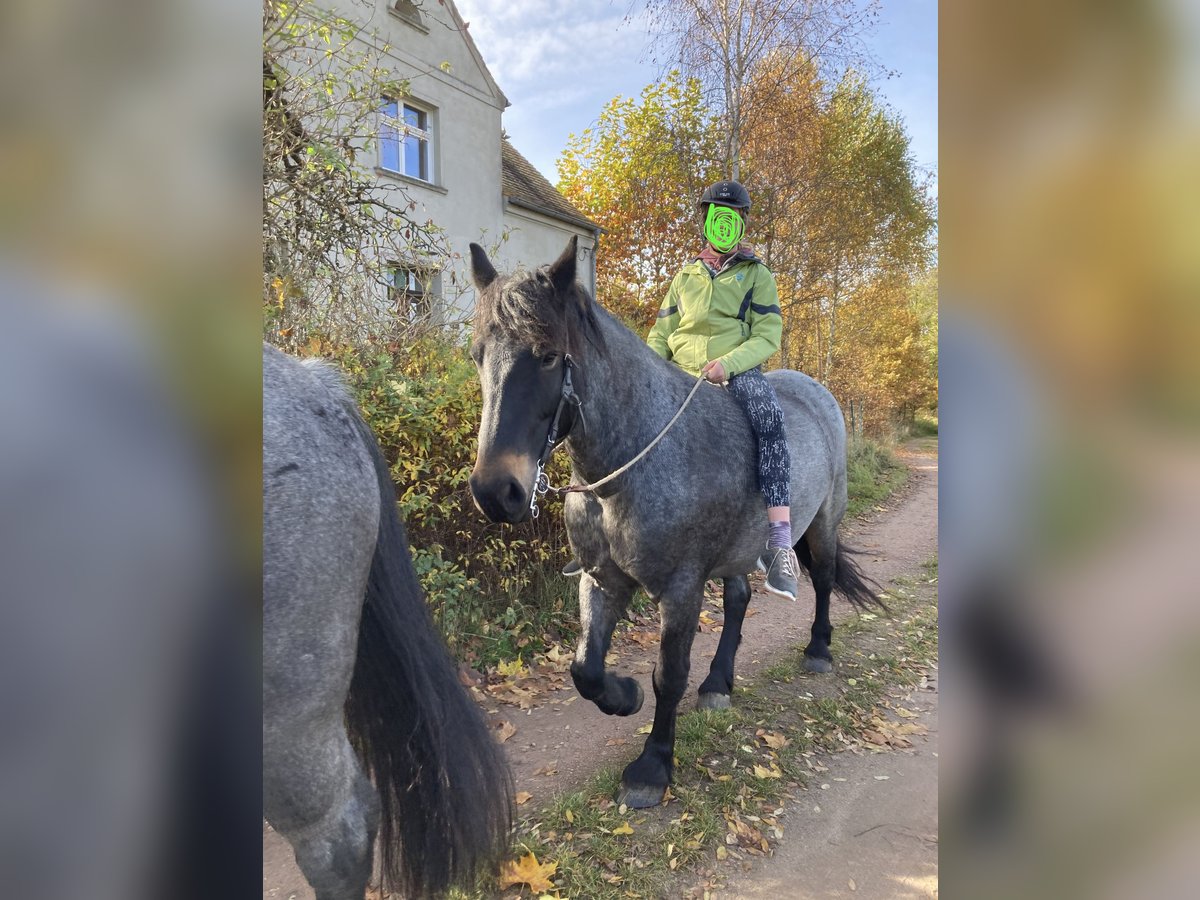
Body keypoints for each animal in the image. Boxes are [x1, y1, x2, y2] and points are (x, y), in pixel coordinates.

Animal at [468, 237, 883, 811]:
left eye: (548, 356)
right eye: (478, 356)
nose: (495, 491)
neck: (630, 467)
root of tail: (817, 393)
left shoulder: (681, 588)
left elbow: (669, 674)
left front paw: (652, 767)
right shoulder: (602, 579)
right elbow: (585, 668)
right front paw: (624, 696)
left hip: (823, 521)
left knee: (821, 578)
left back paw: (818, 649)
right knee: (738, 600)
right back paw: (719, 683)